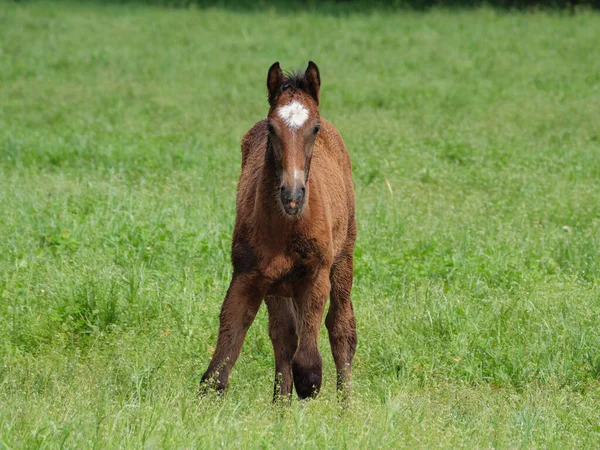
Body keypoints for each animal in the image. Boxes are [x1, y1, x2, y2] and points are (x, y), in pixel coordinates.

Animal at [202, 60, 356, 400]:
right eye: (272, 128)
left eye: (315, 128)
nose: (292, 195)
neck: (287, 228)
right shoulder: (247, 278)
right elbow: (216, 374)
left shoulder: (315, 277)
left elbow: (309, 372)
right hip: (277, 286)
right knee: (283, 337)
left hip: (343, 259)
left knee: (342, 330)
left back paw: (346, 406)